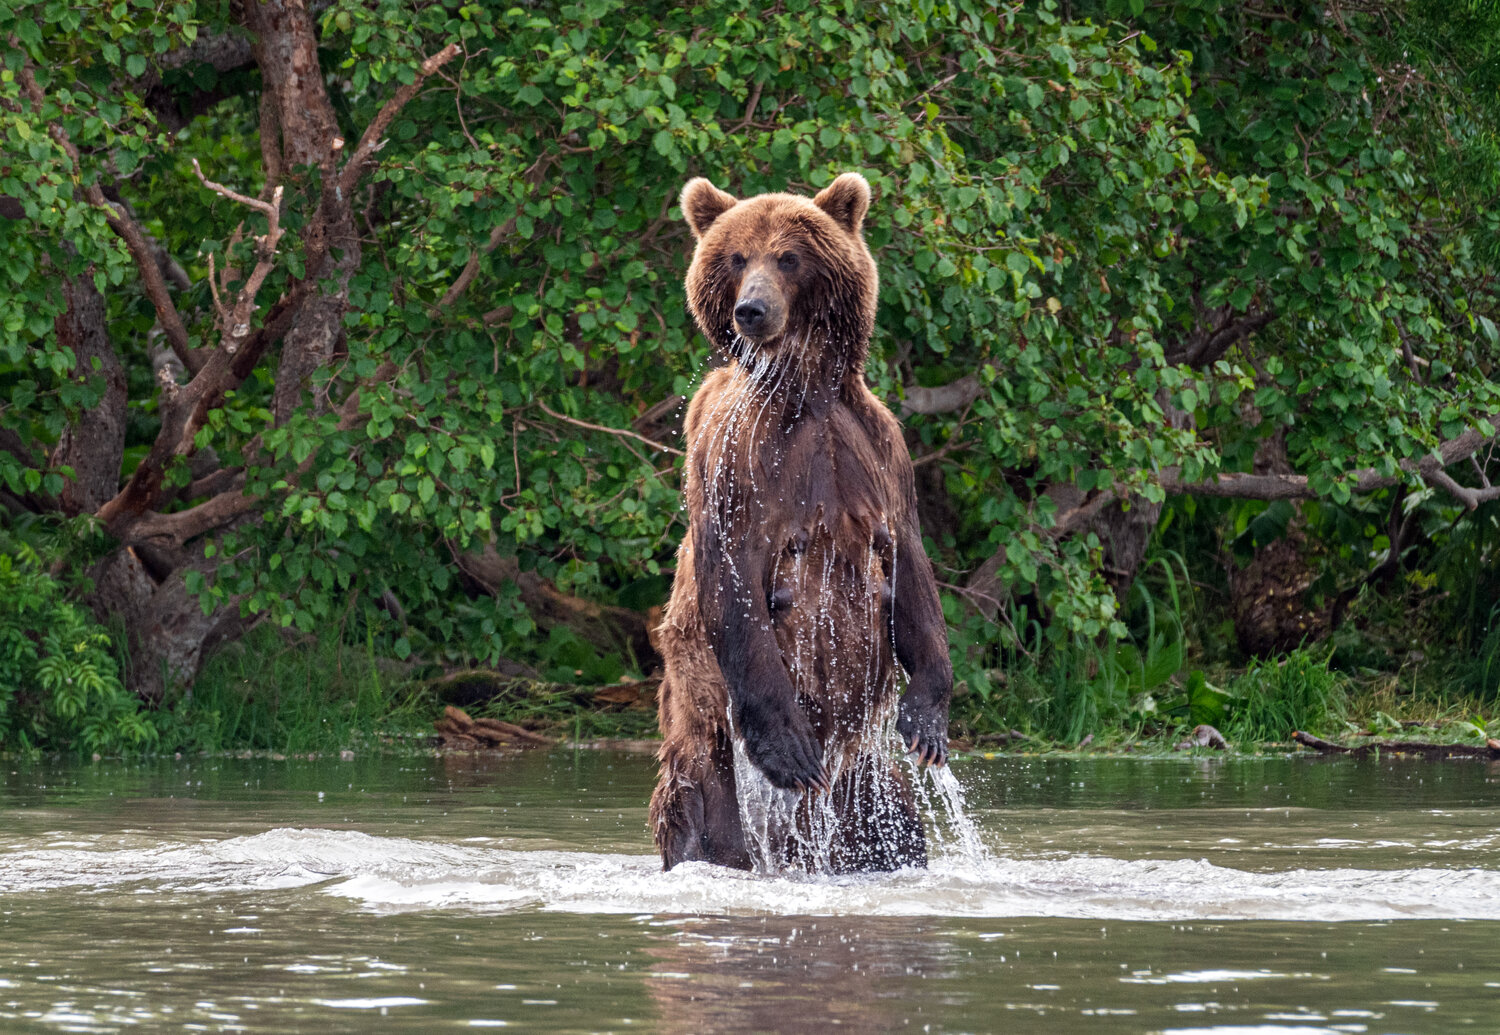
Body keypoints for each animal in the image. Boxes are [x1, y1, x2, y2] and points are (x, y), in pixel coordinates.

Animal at [648, 172, 953, 874]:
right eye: (738, 257)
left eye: (788, 257)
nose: (751, 311)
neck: (805, 388)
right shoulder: (740, 459)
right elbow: (736, 578)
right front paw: (787, 750)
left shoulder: (878, 450)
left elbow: (911, 569)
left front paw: (927, 722)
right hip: (706, 733)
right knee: (692, 800)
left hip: (863, 778)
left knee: (894, 817)